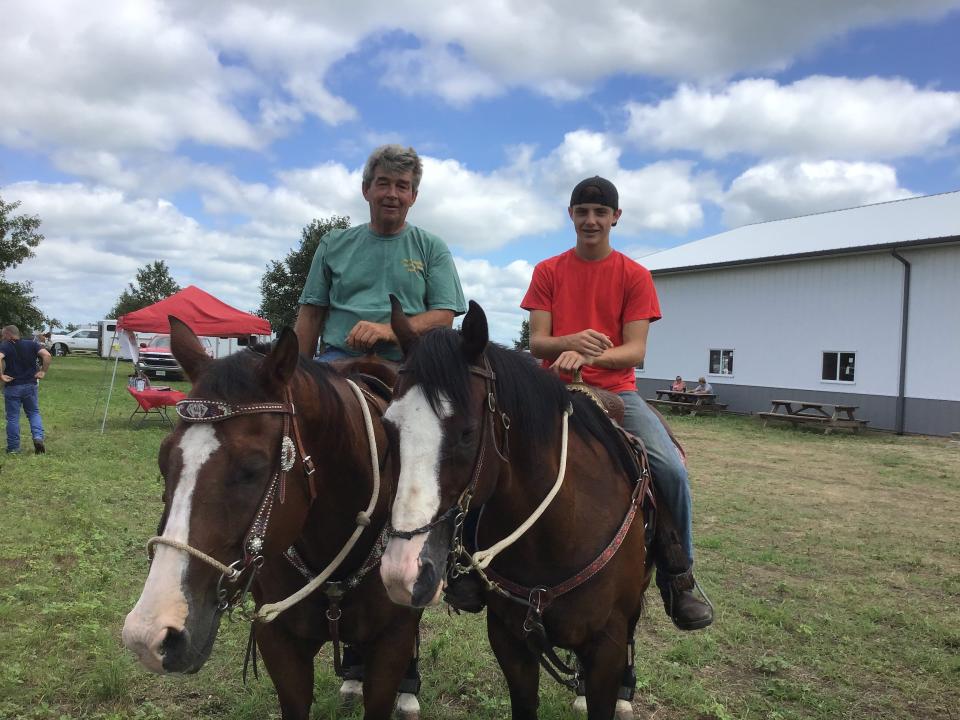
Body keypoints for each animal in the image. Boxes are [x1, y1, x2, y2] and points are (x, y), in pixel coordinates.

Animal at [378, 300, 664, 720]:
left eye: (467, 433)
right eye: (390, 427)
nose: (403, 572)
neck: (559, 532)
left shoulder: (607, 646)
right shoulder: (510, 639)